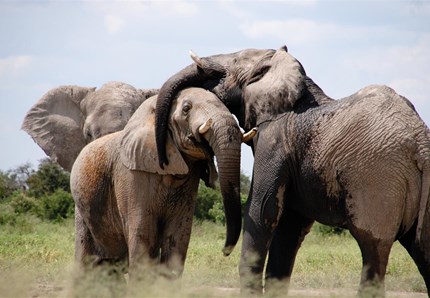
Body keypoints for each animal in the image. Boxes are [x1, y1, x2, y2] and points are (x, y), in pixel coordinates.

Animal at [69, 86, 252, 280]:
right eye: (186, 109)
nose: (225, 252)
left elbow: (179, 235)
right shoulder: (131, 175)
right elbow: (142, 232)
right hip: (82, 209)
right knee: (85, 260)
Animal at [153, 45, 428, 294]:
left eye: (234, 61)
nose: (224, 251)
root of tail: (420, 141)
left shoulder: (274, 139)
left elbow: (261, 211)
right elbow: (288, 228)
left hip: (377, 180)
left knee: (373, 251)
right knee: (423, 251)